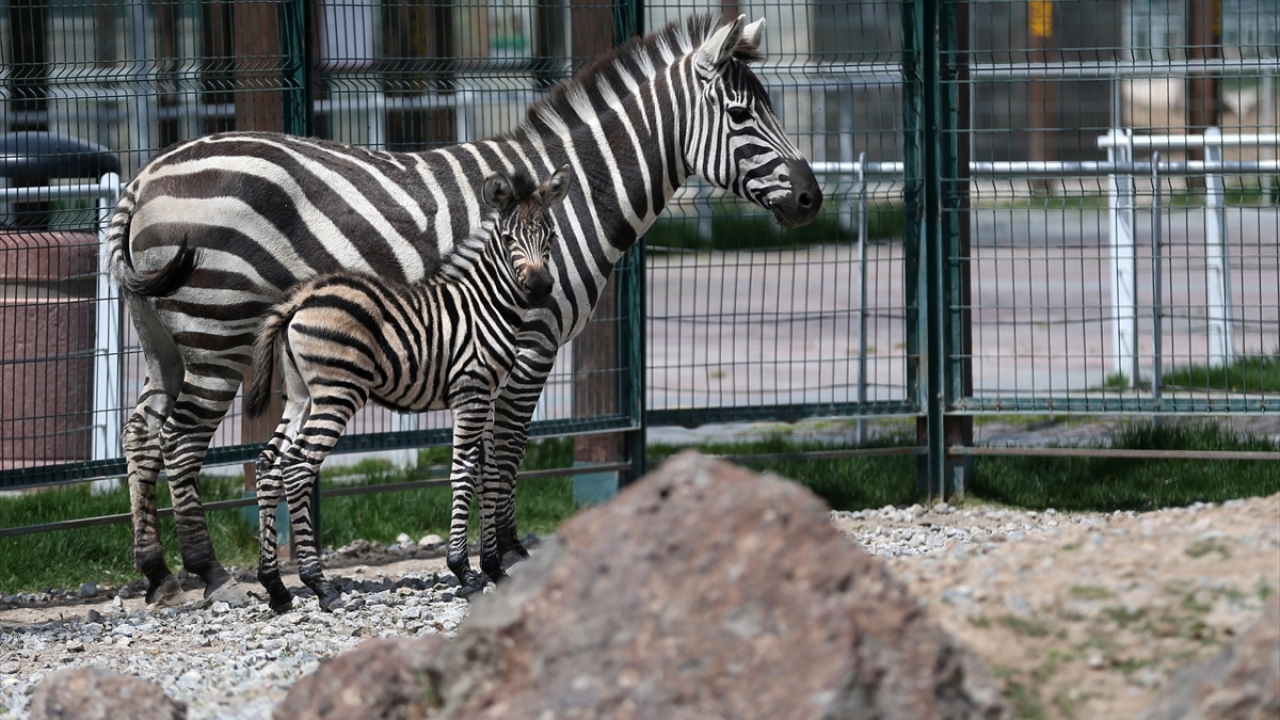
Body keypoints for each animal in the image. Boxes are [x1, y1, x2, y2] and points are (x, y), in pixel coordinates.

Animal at [244, 166, 571, 612]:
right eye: (508, 239)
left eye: (550, 236)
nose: (539, 288)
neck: (487, 304)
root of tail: (302, 298)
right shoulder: (470, 393)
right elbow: (464, 472)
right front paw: (464, 571)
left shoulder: (487, 398)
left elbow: (487, 473)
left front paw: (494, 568)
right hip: (337, 393)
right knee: (298, 466)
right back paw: (320, 585)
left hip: (300, 396)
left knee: (268, 465)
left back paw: (276, 587)